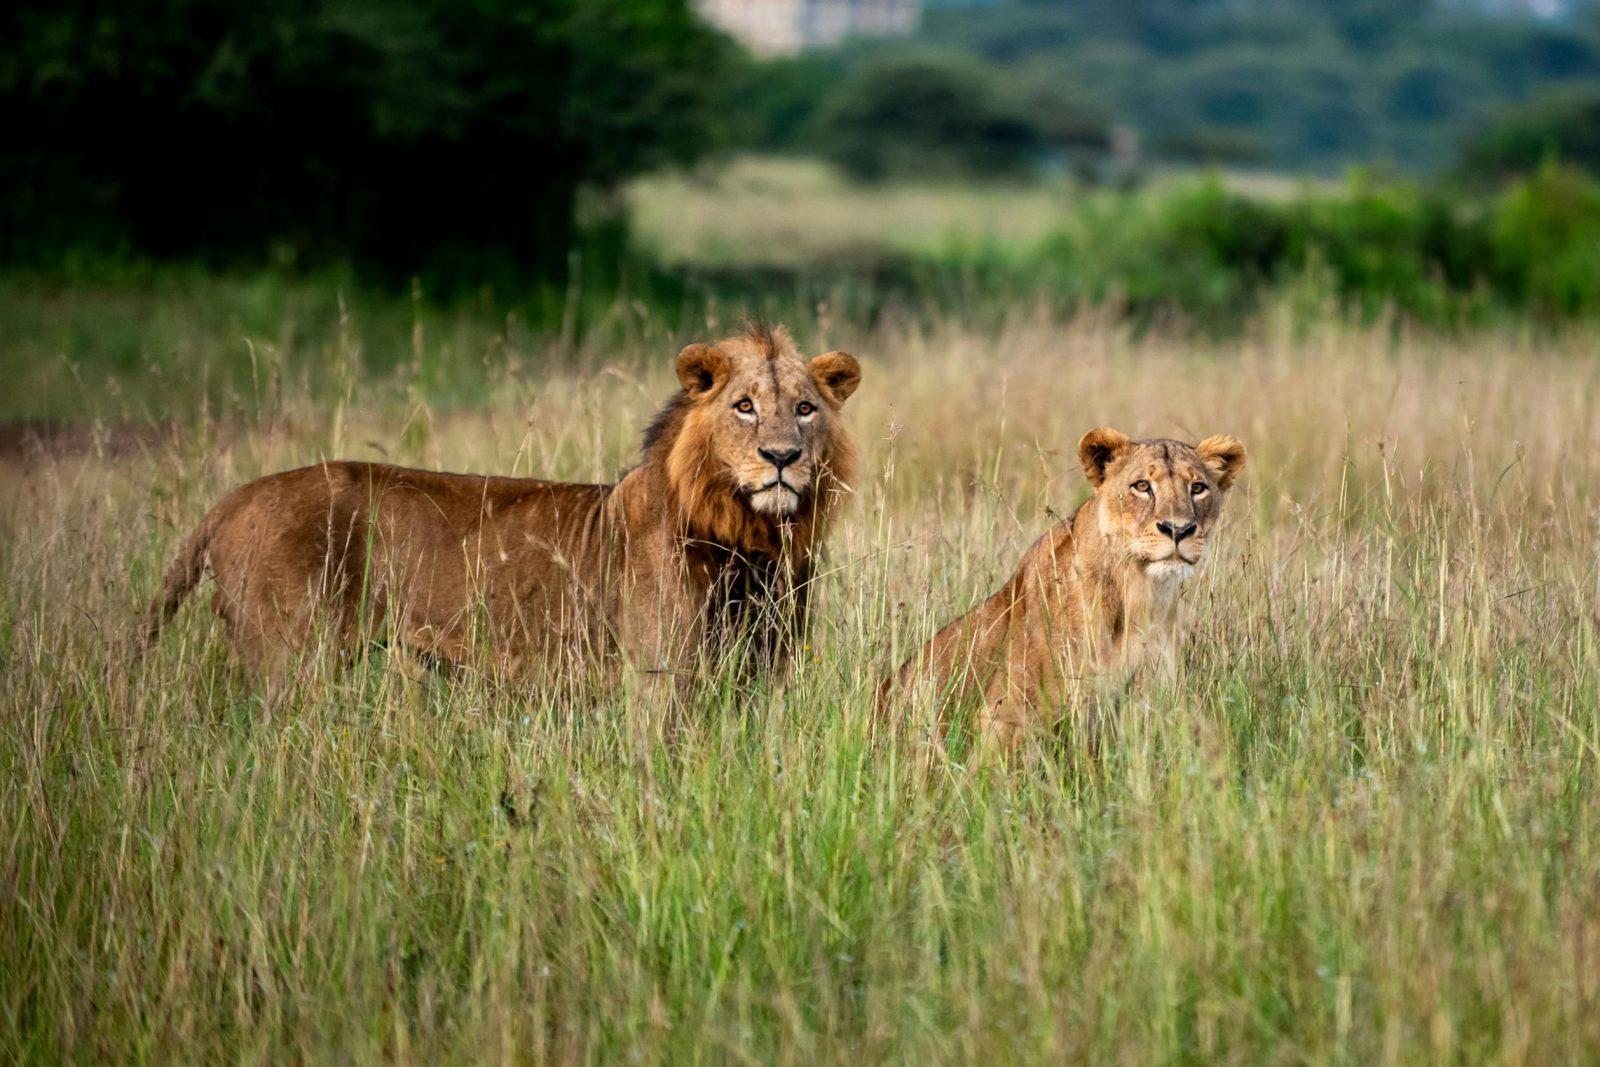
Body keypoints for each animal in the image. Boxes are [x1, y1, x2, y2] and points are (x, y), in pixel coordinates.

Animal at [143, 323, 862, 700]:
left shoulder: (762, 673)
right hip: (290, 661)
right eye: (744, 405)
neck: (751, 537)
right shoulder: (658, 677)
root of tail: (233, 498)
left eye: (805, 408)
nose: (781, 456)